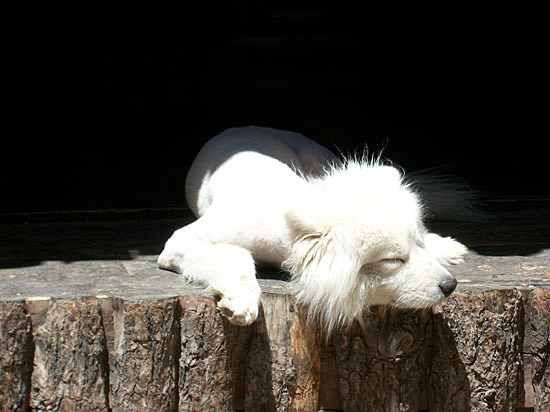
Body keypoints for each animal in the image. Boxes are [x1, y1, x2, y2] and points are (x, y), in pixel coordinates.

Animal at [157, 124, 472, 332]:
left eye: (416, 246)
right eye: (392, 260)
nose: (450, 285)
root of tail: (244, 126)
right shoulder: (182, 241)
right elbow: (236, 257)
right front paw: (241, 301)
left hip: (322, 159)